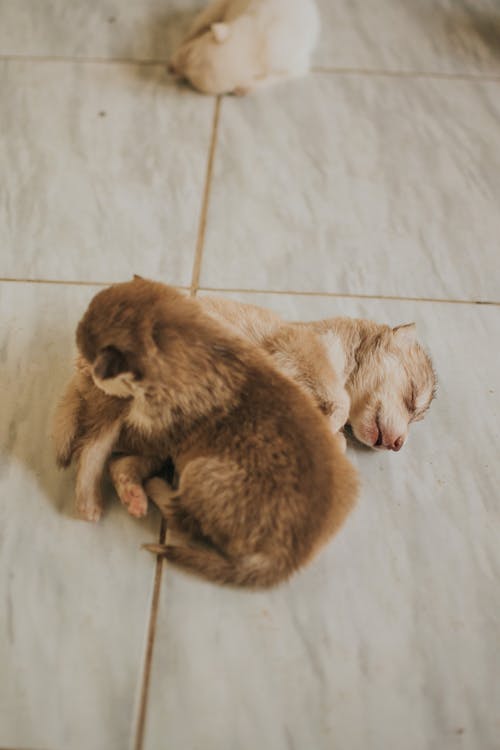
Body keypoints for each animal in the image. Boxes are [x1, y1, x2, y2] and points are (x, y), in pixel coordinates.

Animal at [169, 0, 320, 96]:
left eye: (189, 81)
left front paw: (245, 88)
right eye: (189, 52)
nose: (170, 70)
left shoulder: (295, 66)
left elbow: (276, 77)